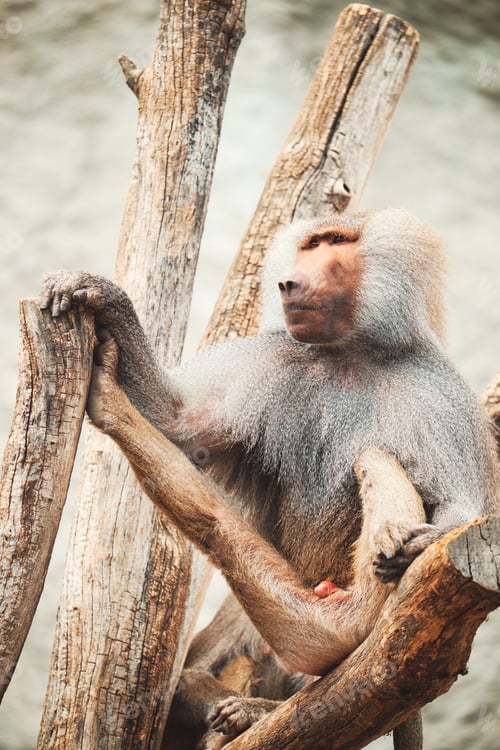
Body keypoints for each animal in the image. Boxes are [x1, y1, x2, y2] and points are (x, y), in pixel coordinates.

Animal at [41, 208, 498, 750]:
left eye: (336, 242)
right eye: (310, 243)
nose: (287, 282)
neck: (349, 352)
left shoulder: (440, 396)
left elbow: (461, 508)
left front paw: (418, 542)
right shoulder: (272, 364)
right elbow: (177, 419)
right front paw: (102, 296)